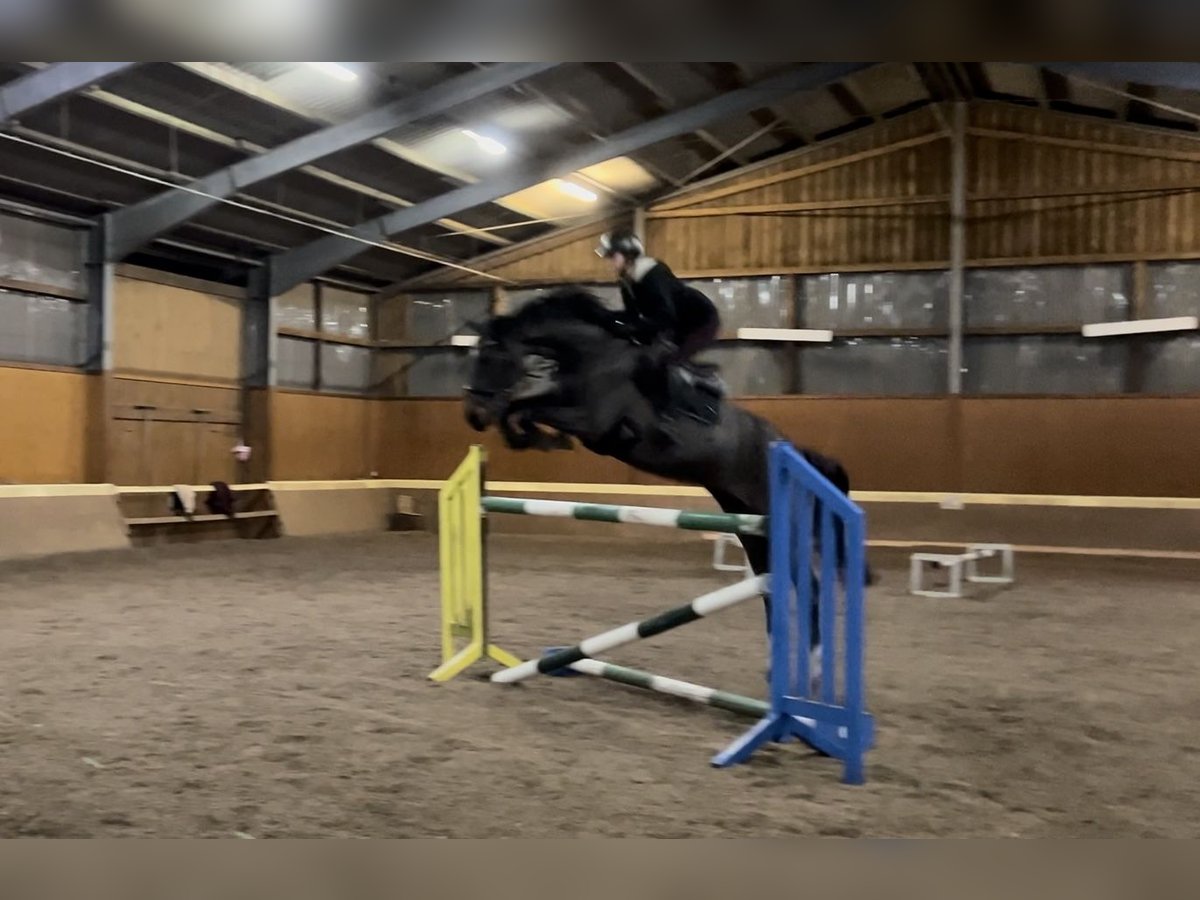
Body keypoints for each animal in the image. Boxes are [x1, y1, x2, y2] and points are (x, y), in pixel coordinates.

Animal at [462, 286, 870, 654]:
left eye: (492, 357)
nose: (474, 416)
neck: (594, 356)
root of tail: (786, 445)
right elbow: (524, 405)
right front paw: (526, 435)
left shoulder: (594, 422)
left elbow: (528, 407)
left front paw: (538, 437)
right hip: (748, 520)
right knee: (773, 579)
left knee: (803, 578)